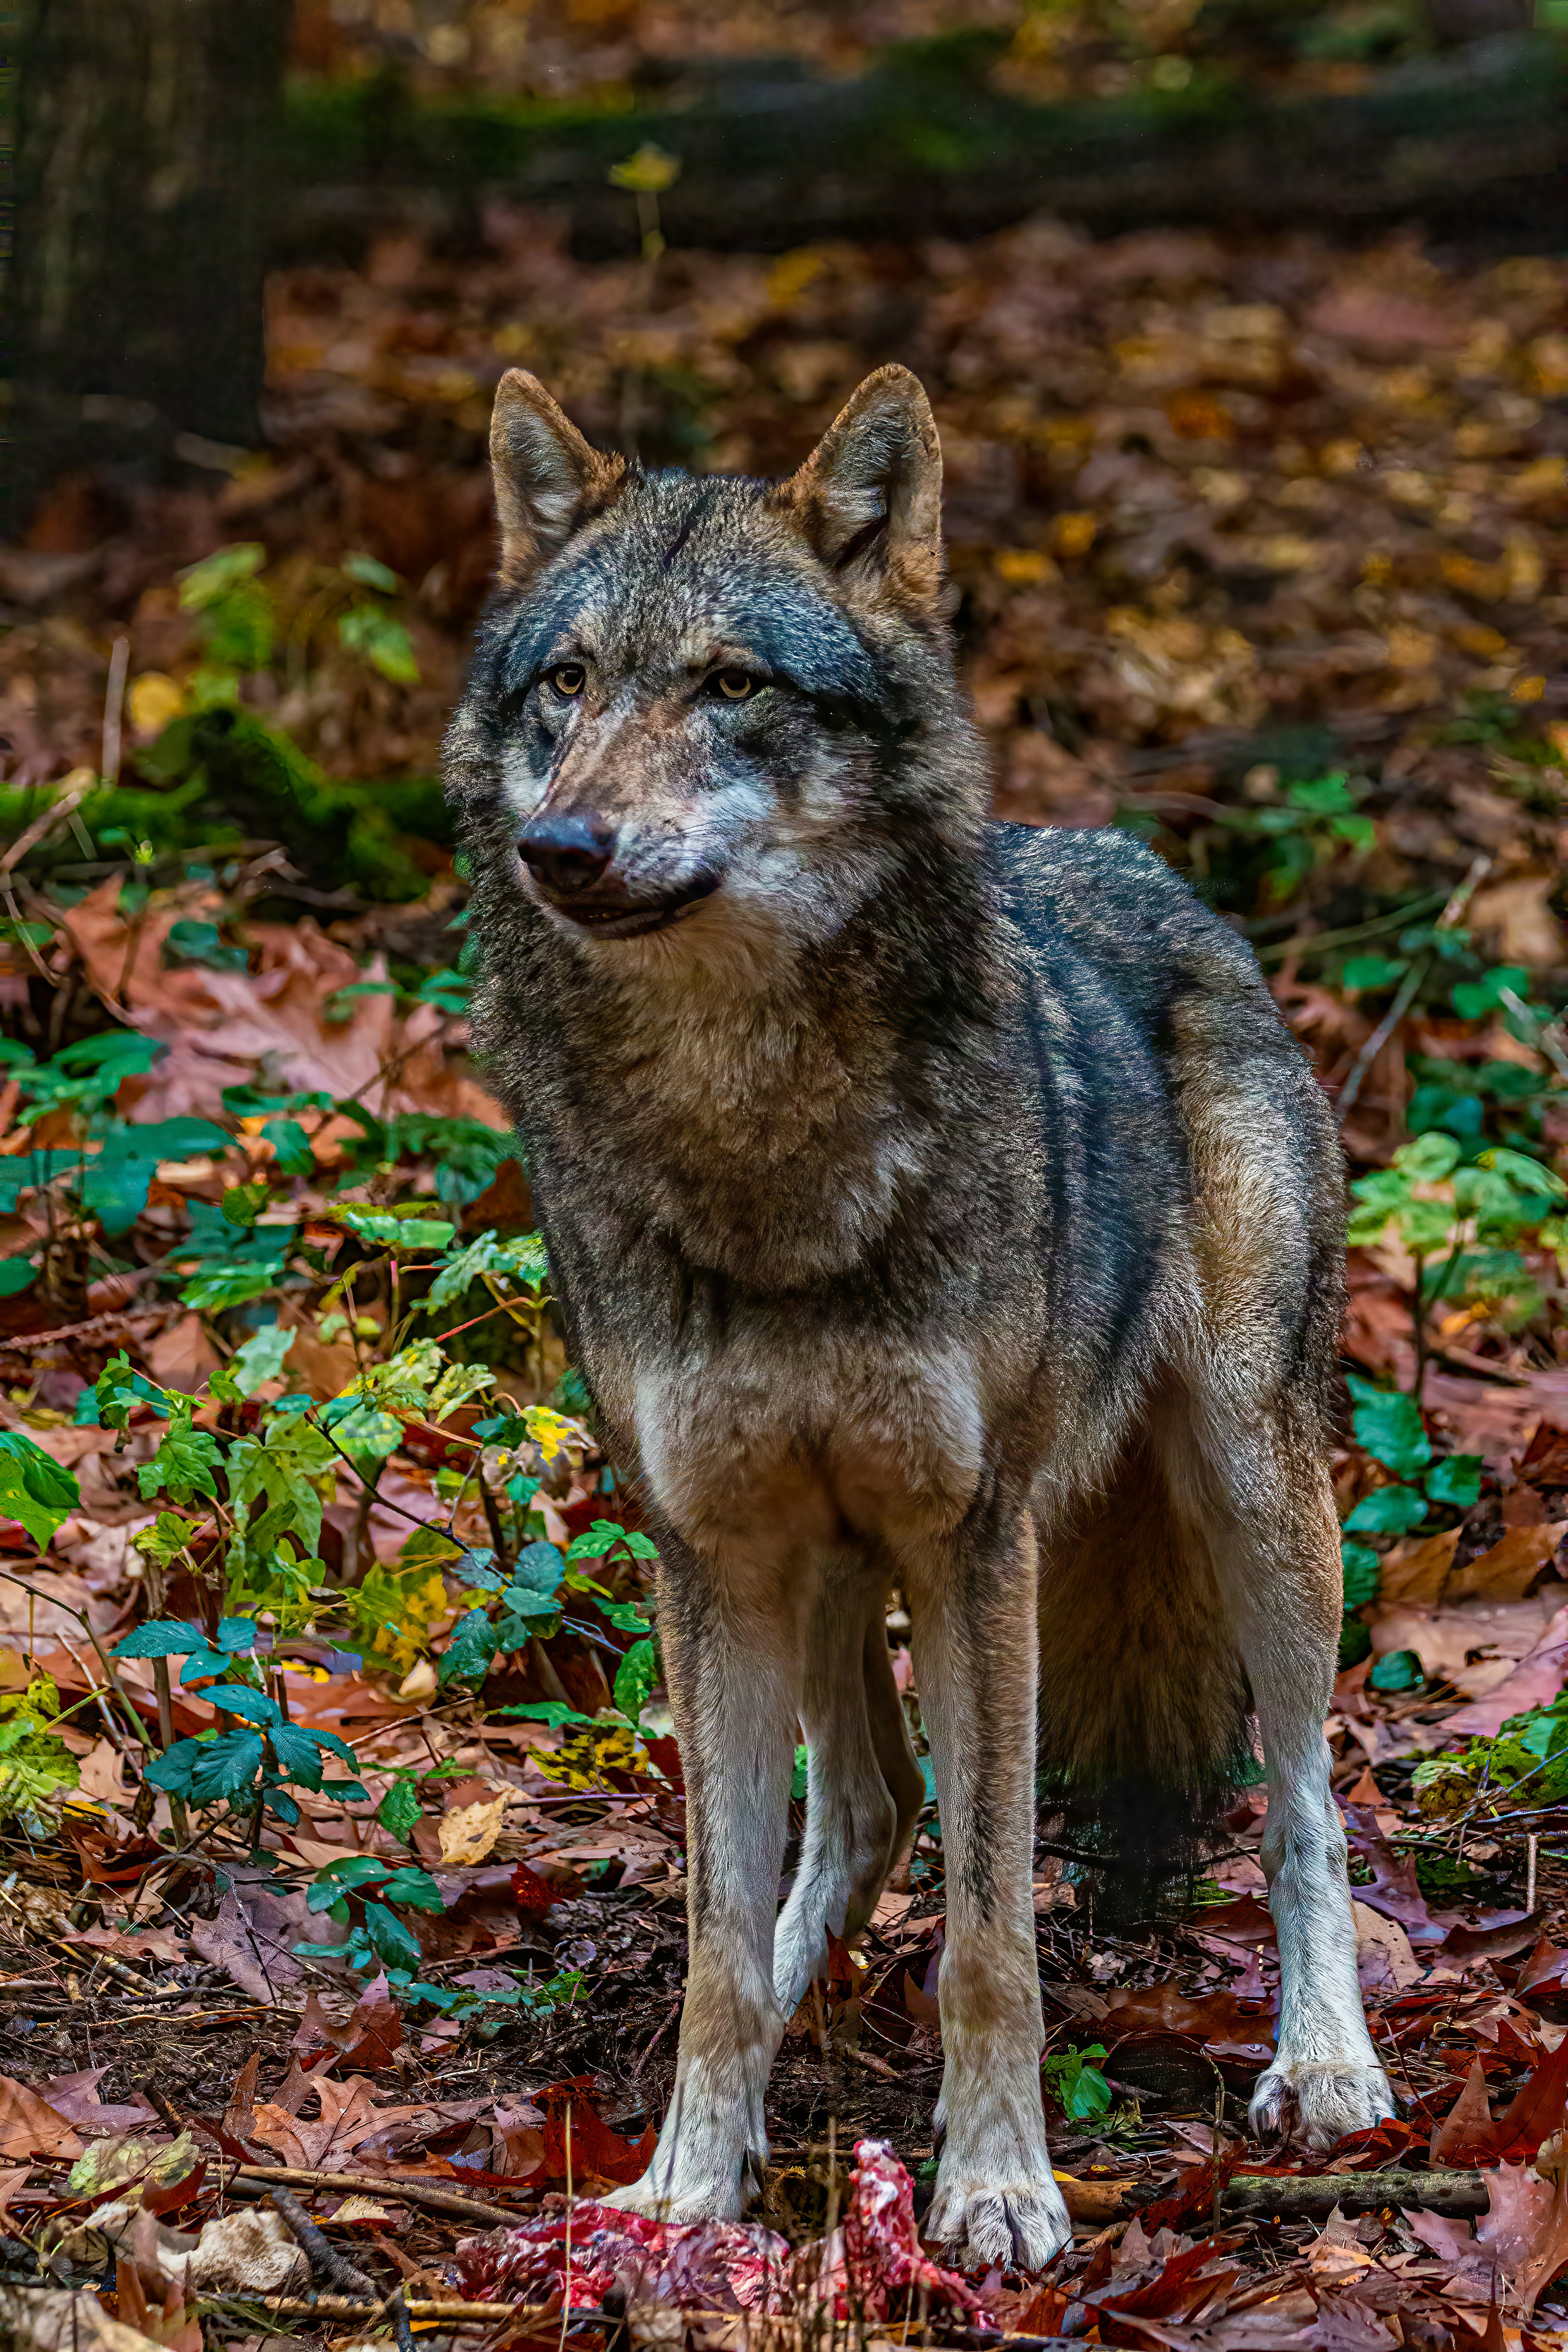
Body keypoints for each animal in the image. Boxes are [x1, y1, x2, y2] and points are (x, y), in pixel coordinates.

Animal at [444, 363, 1395, 2270]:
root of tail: (1143, 865)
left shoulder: (977, 1542)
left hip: (1252, 1497)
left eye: (732, 685)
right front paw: (686, 2180)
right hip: (825, 1564)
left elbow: (992, 1935)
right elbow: (720, 1938)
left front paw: (999, 2187)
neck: (757, 1135)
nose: (559, 843)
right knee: (864, 1817)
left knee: (1304, 1804)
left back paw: (1326, 2067)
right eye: (564, 684)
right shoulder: (712, 1549)